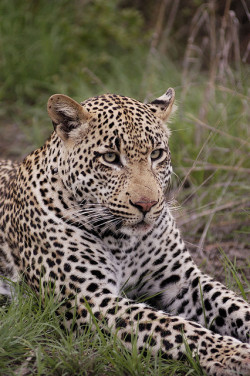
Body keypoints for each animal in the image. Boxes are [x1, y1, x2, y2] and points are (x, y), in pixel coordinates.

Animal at [0, 89, 249, 376]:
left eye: (156, 154)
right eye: (110, 158)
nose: (147, 204)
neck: (123, 240)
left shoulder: (182, 279)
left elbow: (234, 305)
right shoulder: (89, 299)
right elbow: (174, 327)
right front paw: (234, 354)